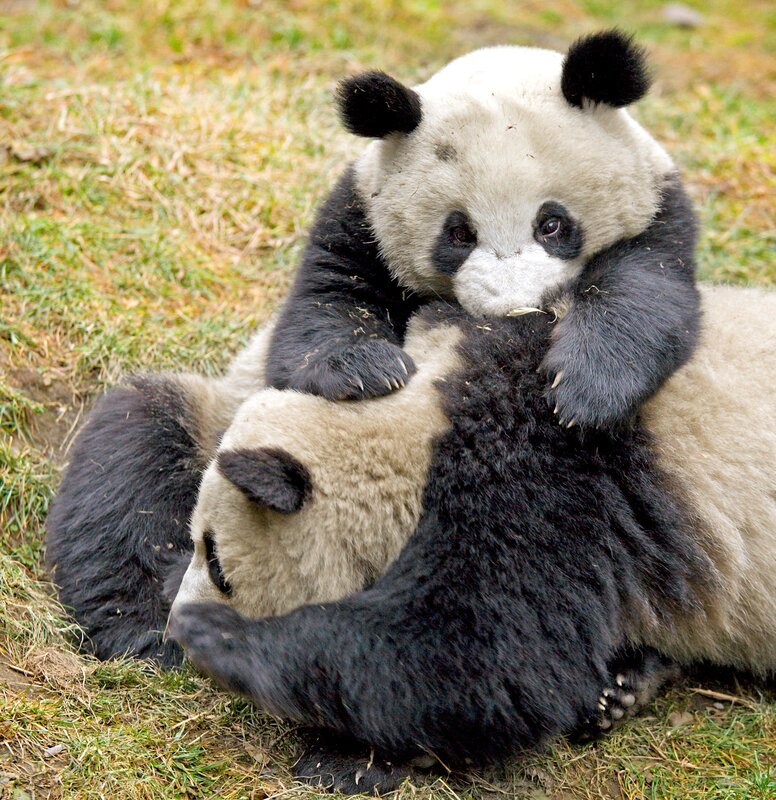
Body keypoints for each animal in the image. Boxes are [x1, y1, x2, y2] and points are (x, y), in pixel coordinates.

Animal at [264, 30, 700, 432]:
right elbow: (328, 297)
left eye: (551, 225)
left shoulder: (659, 214)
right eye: (459, 235)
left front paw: (586, 388)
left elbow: (643, 288)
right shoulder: (360, 217)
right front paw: (364, 367)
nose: (512, 311)